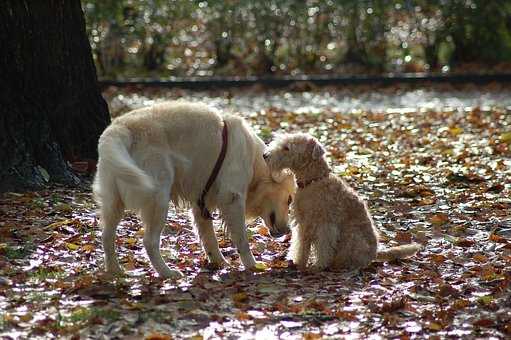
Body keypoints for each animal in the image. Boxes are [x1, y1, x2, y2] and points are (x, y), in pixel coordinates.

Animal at [92, 101, 296, 278]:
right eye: (289, 200)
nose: (287, 230)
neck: (254, 160)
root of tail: (120, 127)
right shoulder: (232, 198)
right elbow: (242, 239)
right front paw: (252, 265)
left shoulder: (201, 205)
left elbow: (209, 238)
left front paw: (219, 263)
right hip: (158, 198)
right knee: (149, 242)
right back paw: (167, 273)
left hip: (113, 201)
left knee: (106, 236)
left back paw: (115, 271)